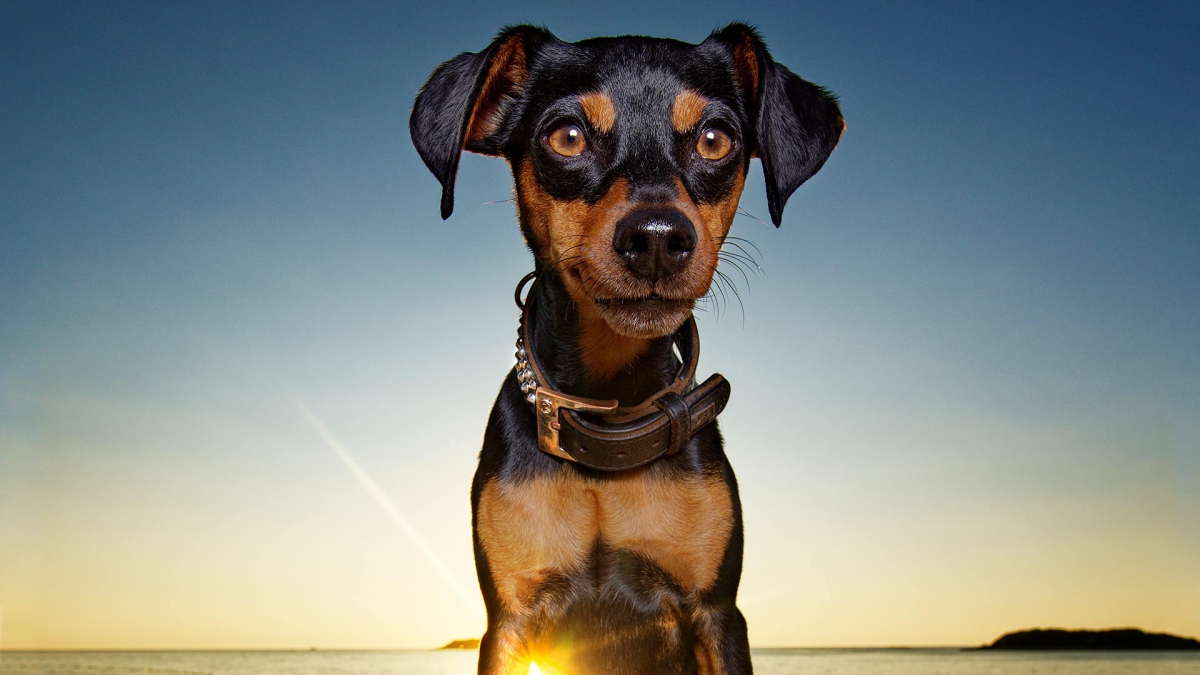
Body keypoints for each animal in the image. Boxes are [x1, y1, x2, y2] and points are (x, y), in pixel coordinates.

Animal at [412, 22, 844, 672]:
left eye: (715, 140)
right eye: (567, 136)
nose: (658, 237)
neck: (608, 414)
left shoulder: (717, 612)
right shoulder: (508, 622)